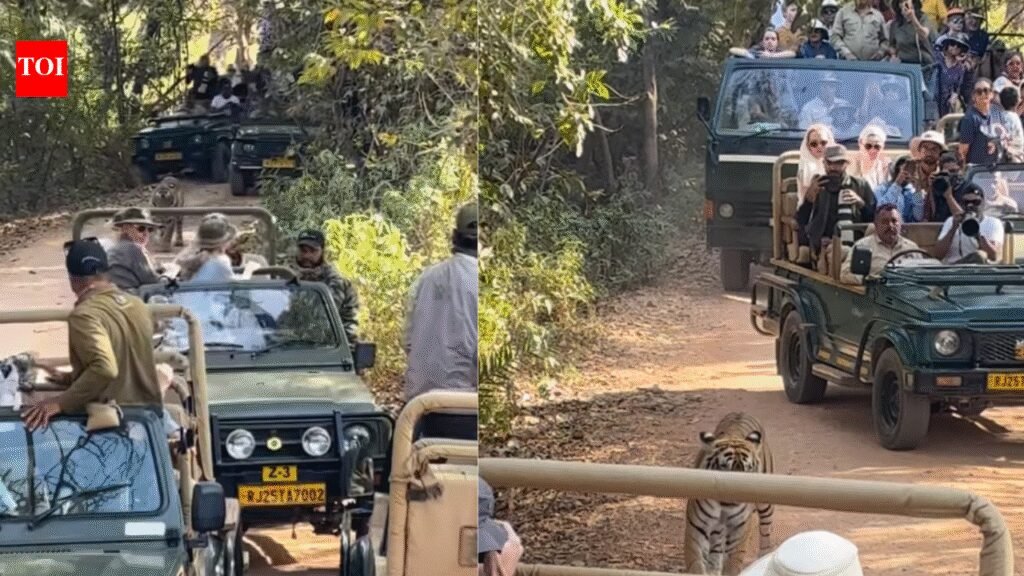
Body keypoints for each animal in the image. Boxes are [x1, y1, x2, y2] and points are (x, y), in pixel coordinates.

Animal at [683, 412, 774, 576]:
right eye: (724, 467)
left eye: (748, 469)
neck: (725, 505)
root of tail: (741, 412)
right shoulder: (696, 527)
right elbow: (696, 563)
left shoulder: (739, 528)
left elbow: (733, 562)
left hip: (766, 505)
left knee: (765, 530)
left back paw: (764, 554)